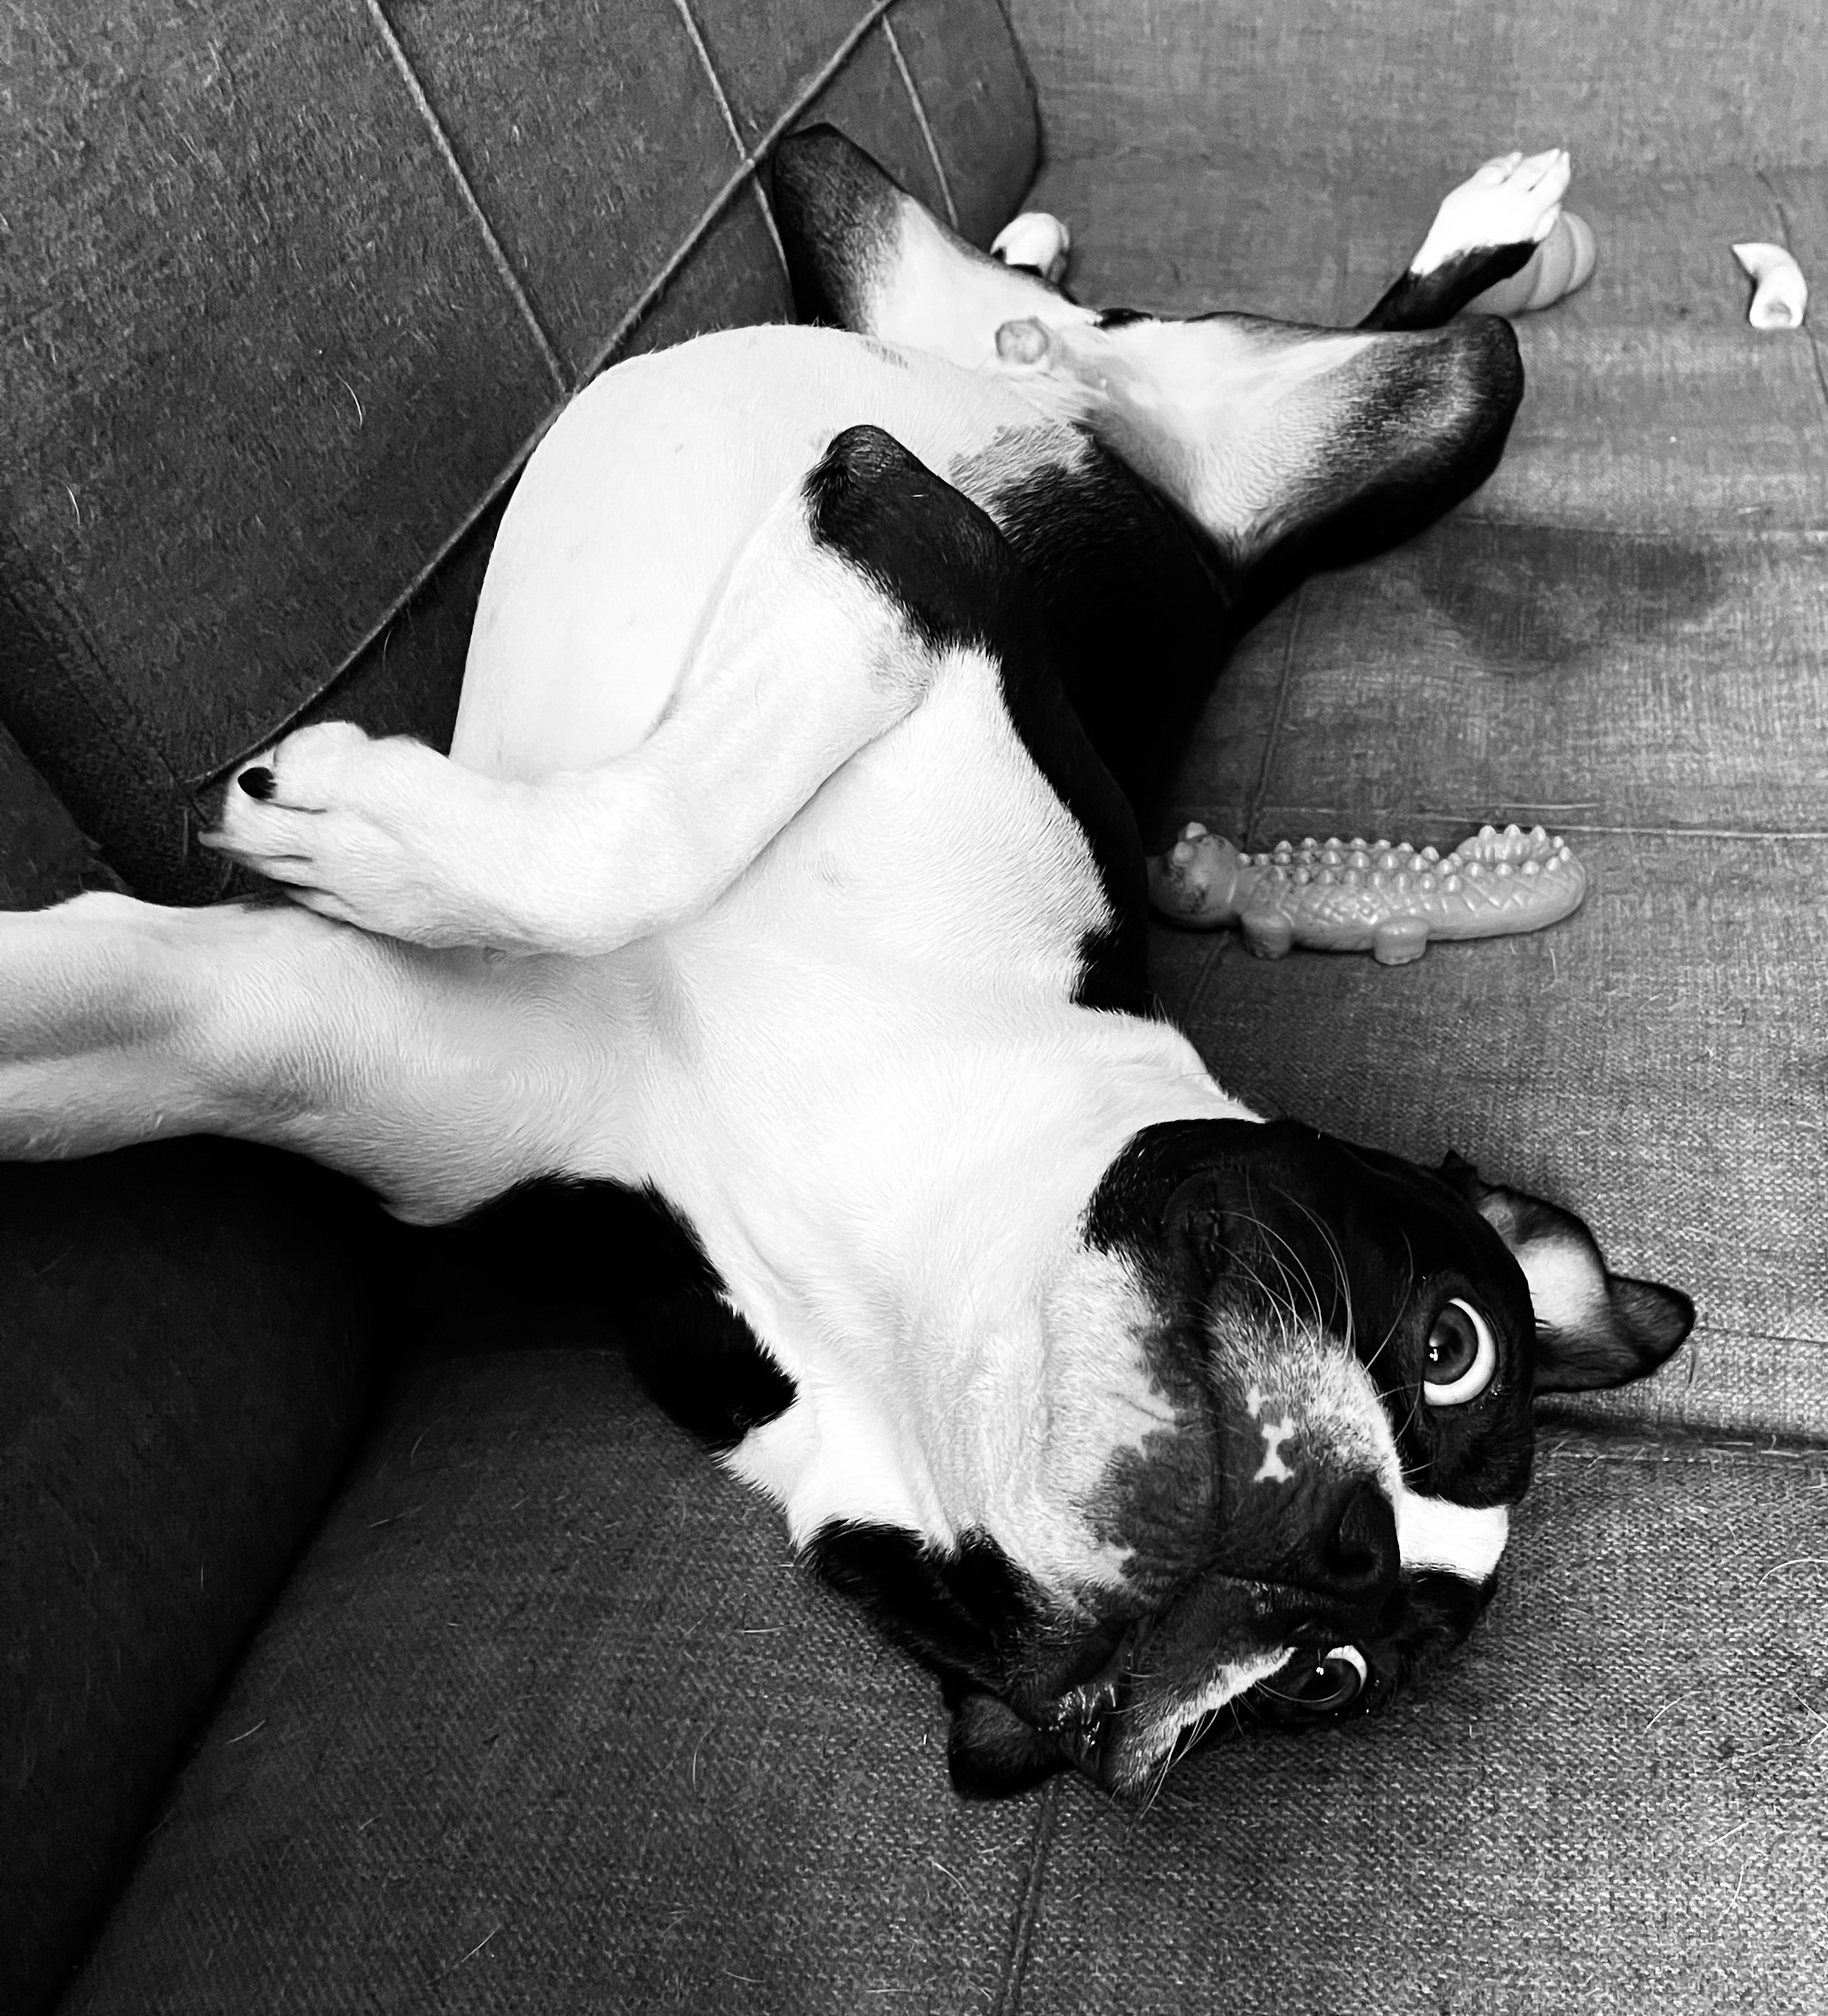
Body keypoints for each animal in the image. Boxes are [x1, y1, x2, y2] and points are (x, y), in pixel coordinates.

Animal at [0, 131, 1692, 1799]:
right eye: (1456, 1344)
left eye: (1318, 1684)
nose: (1341, 1554)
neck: (887, 1227)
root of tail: (1130, 441)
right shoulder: (895, 528)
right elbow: (633, 851)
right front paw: (361, 831)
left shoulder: (270, 1029)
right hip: (1165, 344)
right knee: (1386, 329)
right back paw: (1417, 218)